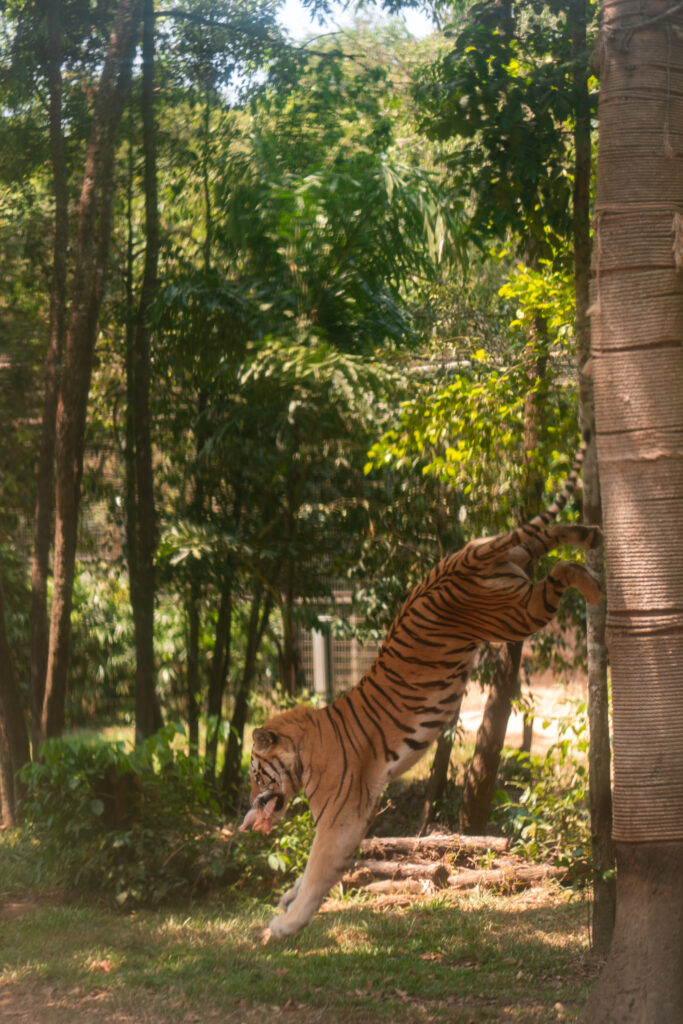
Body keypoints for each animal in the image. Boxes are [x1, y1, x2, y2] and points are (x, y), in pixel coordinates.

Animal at [237, 444, 602, 937]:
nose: (249, 807)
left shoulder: (339, 819)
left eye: (257, 774)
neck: (305, 752)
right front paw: (285, 901)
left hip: (515, 614)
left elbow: (315, 873)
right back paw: (592, 534)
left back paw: (596, 587)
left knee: (559, 569)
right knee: (549, 534)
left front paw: (282, 926)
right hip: (514, 566)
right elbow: (306, 878)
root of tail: (464, 558)